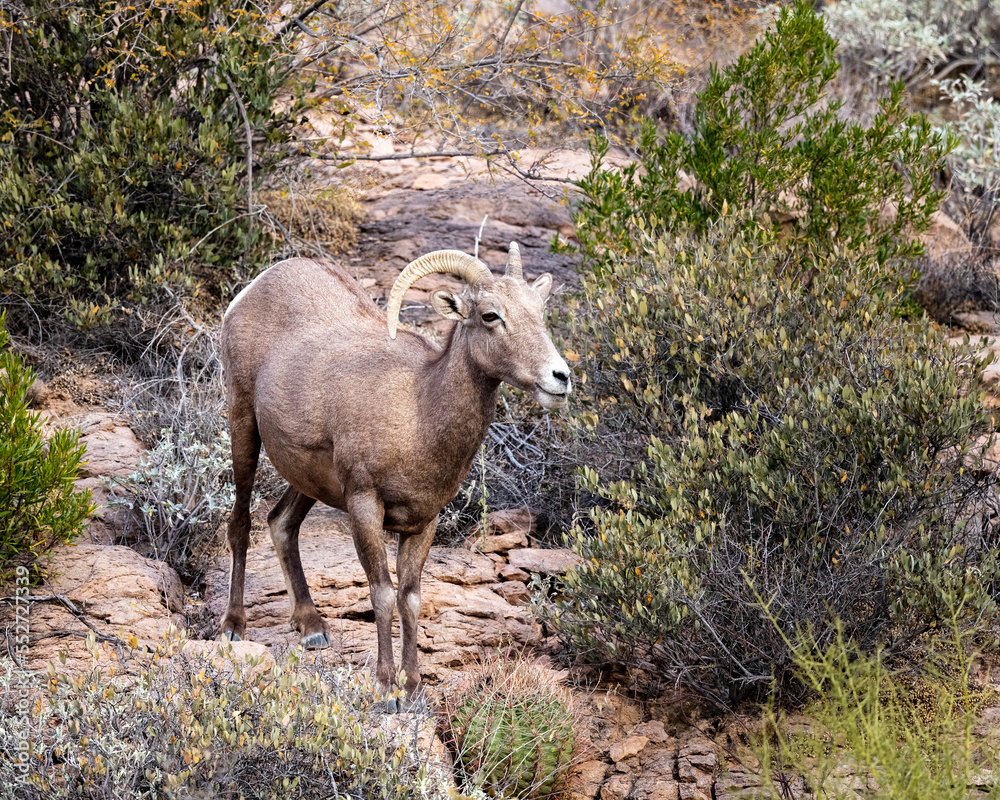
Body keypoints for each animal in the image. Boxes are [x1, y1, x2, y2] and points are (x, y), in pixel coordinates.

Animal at [218, 242, 571, 698]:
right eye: (490, 315)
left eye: (539, 311)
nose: (560, 377)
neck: (418, 411)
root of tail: (256, 287)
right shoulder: (365, 506)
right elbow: (383, 593)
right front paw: (387, 687)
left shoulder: (423, 521)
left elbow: (410, 596)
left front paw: (414, 683)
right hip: (243, 425)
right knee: (240, 524)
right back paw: (233, 626)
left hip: (309, 477)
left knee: (281, 523)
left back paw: (311, 627)